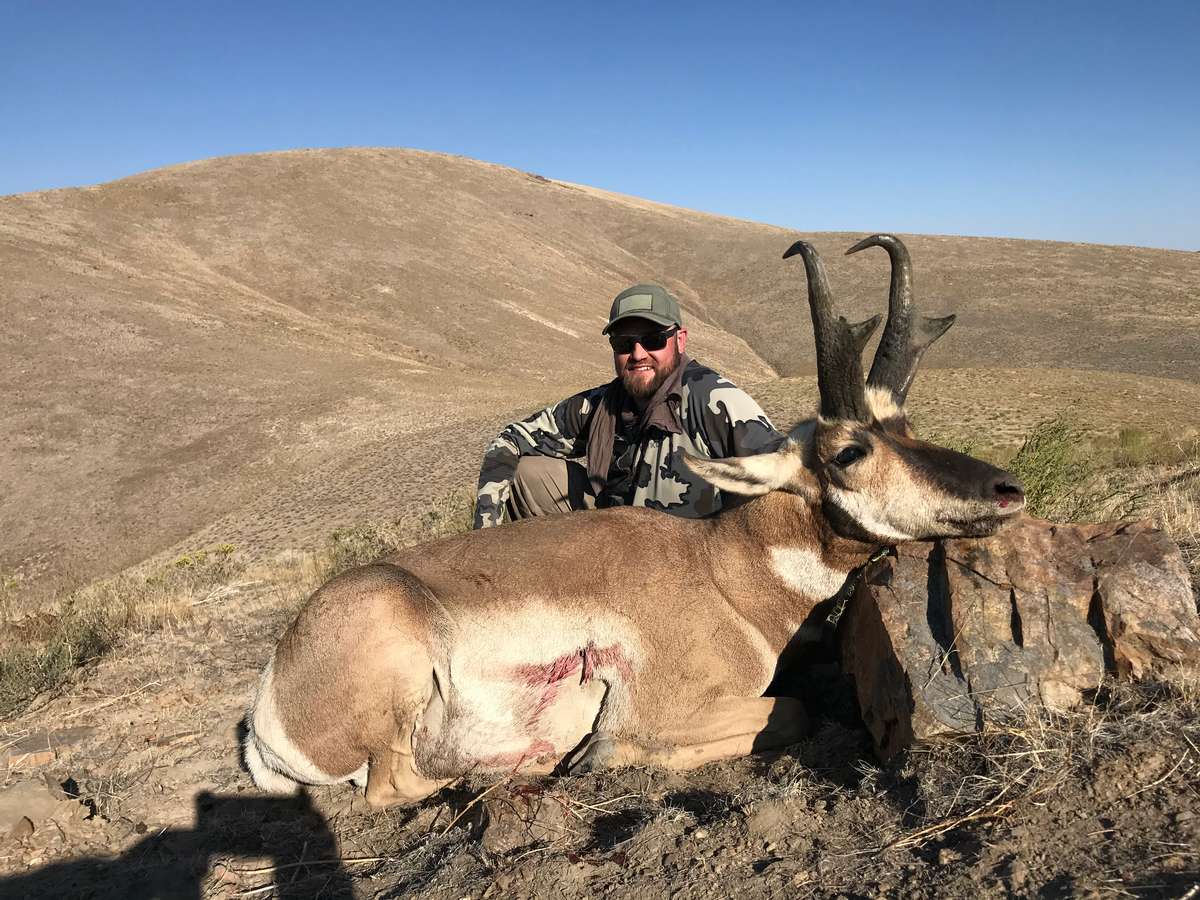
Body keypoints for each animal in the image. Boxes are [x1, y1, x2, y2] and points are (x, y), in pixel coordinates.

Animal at [246, 236, 1032, 806]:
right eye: (849, 451)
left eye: (907, 427)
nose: (1007, 489)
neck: (721, 570)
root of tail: (266, 704)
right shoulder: (667, 706)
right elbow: (792, 711)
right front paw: (601, 754)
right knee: (392, 786)